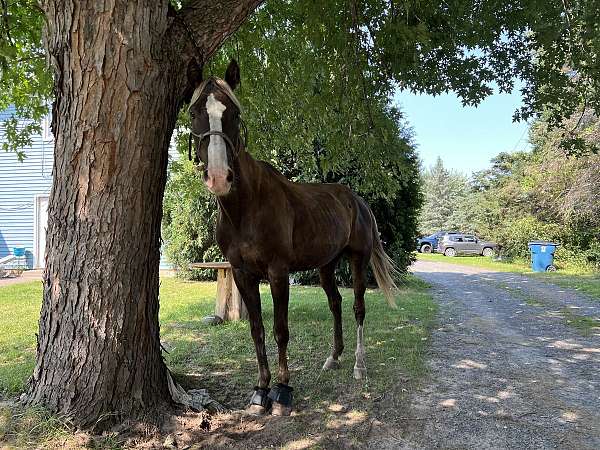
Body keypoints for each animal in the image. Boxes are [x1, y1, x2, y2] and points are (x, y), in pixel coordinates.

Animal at [188, 60, 398, 418]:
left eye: (235, 113)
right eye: (193, 113)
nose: (219, 177)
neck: (247, 207)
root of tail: (356, 200)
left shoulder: (278, 272)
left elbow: (280, 331)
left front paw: (283, 392)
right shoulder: (242, 274)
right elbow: (257, 330)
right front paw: (260, 391)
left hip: (358, 260)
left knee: (357, 307)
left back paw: (359, 365)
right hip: (326, 265)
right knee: (335, 303)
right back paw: (334, 357)